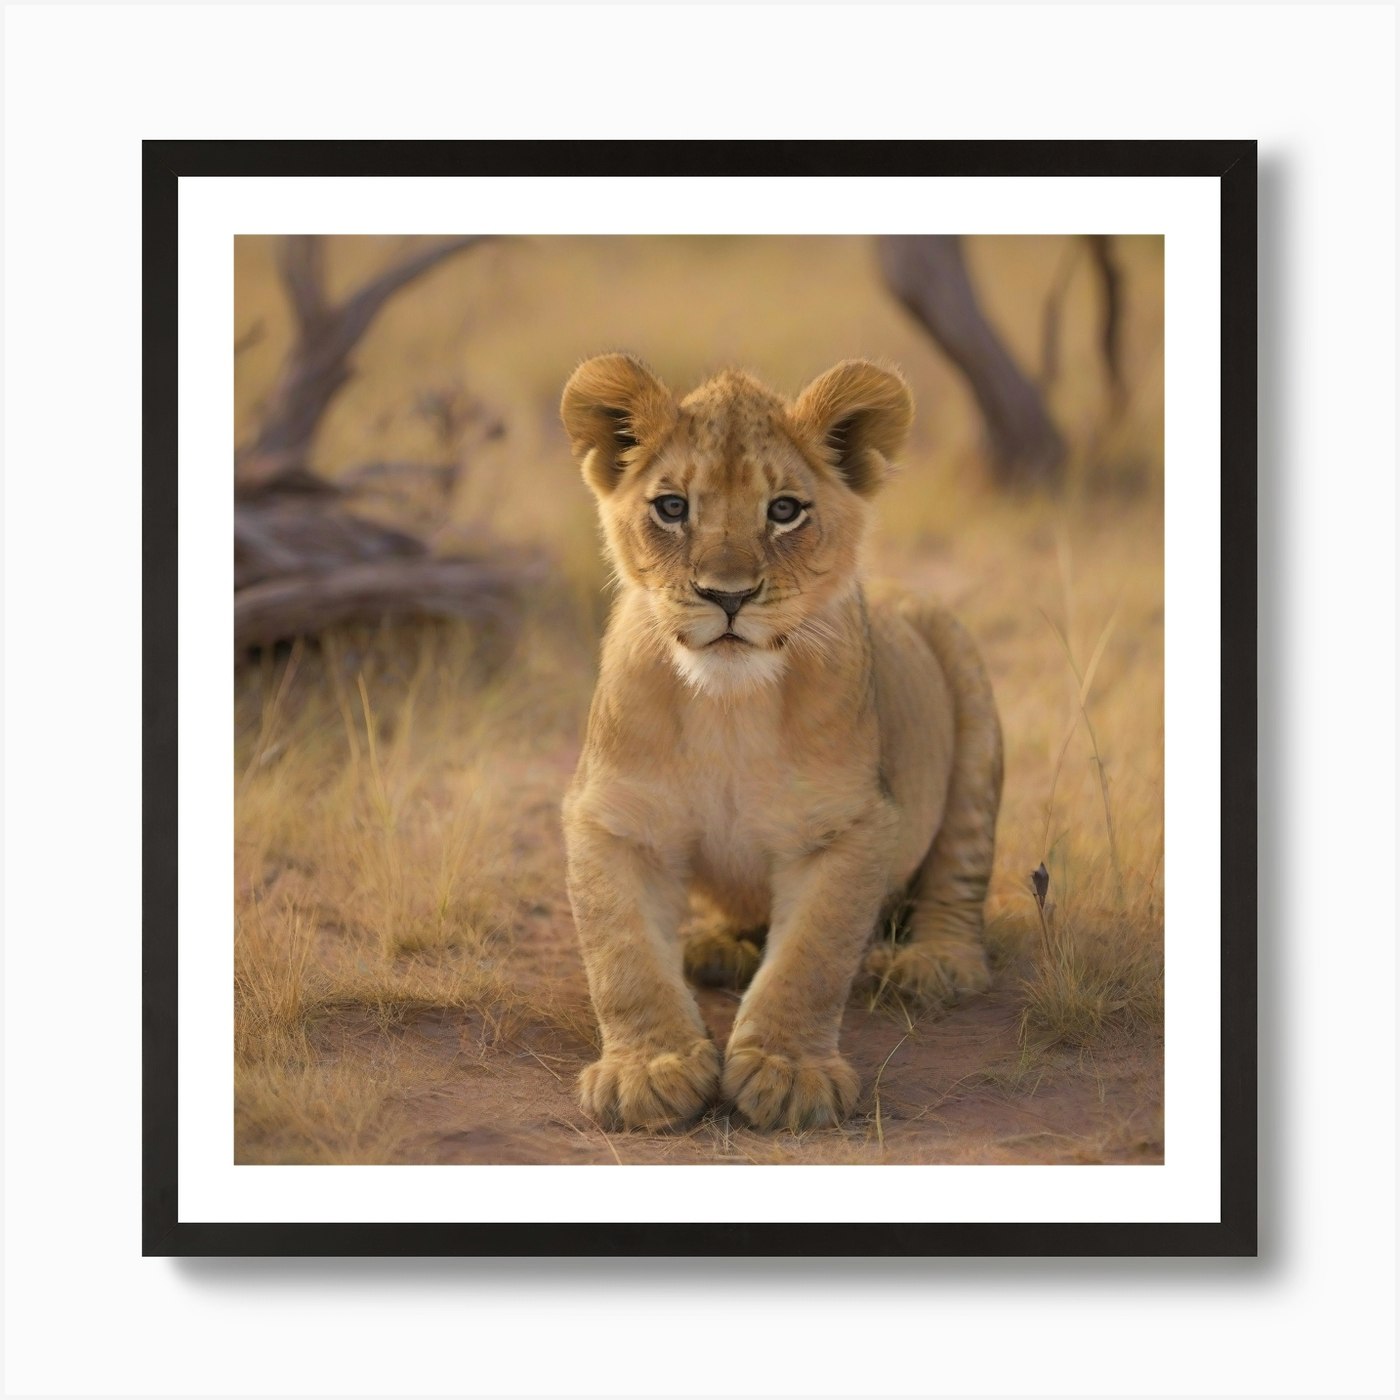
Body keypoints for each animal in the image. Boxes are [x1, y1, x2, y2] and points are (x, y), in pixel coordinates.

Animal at [559, 355, 1002, 1133]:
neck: (729, 706)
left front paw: (788, 1072)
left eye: (786, 510)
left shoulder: (852, 825)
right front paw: (649, 1071)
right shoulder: (612, 819)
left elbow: (811, 957)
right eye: (671, 507)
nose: (727, 595)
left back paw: (934, 965)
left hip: (966, 682)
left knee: (959, 872)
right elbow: (623, 957)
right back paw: (717, 948)